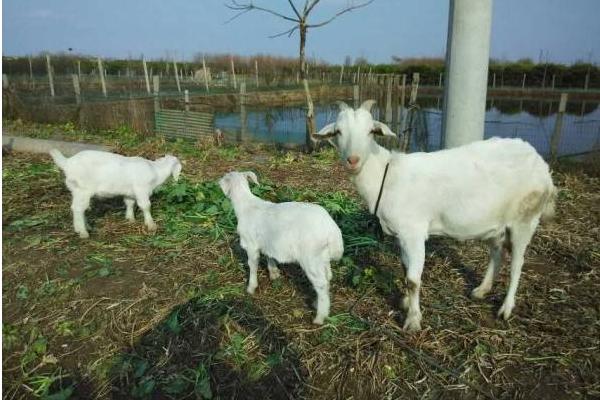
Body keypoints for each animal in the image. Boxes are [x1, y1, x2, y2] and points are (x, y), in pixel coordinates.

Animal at [49, 149, 182, 238]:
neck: (156, 171)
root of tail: (67, 163)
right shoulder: (141, 189)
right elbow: (146, 206)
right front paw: (151, 225)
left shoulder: (130, 192)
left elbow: (129, 203)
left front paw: (130, 219)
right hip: (82, 189)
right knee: (78, 208)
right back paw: (83, 232)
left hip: (76, 190)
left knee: (79, 208)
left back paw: (85, 227)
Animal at [219, 170, 342, 324]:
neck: (246, 206)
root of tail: (332, 231)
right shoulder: (268, 242)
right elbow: (269, 256)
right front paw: (274, 274)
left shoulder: (252, 245)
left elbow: (252, 266)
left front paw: (251, 288)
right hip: (322, 257)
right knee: (328, 278)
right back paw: (316, 303)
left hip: (311, 257)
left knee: (321, 283)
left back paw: (320, 317)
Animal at [316, 100, 556, 332]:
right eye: (338, 131)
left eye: (370, 131)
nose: (353, 160)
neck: (386, 175)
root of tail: (541, 163)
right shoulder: (402, 235)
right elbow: (405, 269)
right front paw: (406, 302)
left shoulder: (414, 232)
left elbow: (413, 280)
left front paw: (413, 321)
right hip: (495, 222)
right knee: (497, 253)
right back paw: (481, 290)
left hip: (525, 219)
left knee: (517, 264)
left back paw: (506, 308)